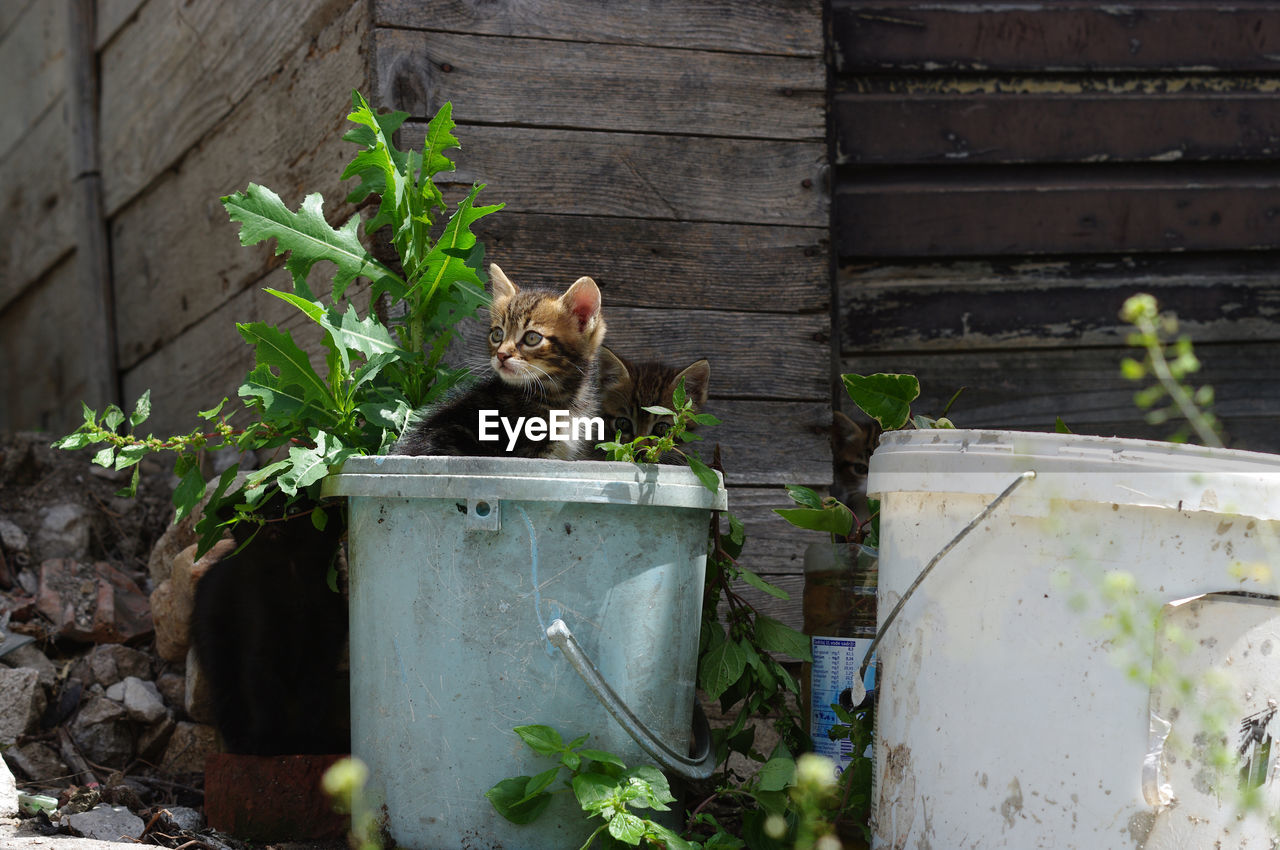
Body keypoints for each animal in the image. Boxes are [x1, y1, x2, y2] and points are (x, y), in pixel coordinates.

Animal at [186, 494, 348, 752]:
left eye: (294, 508)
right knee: (225, 692)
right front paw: (270, 743)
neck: (291, 578)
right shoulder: (258, 644)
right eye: (256, 512)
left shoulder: (325, 642)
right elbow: (265, 695)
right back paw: (241, 743)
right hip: (215, 642)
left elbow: (314, 694)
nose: (272, 514)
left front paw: (309, 740)